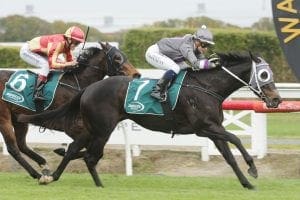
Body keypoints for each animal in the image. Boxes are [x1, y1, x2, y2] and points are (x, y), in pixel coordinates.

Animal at [0, 42, 141, 183]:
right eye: (117, 58)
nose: (136, 74)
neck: (77, 84)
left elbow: (90, 149)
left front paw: (62, 151)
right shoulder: (71, 126)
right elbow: (88, 148)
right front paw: (64, 152)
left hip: (18, 118)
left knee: (21, 145)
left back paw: (43, 164)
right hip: (4, 117)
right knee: (13, 148)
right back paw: (38, 175)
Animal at [18, 52, 282, 189]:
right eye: (264, 75)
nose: (276, 99)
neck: (208, 87)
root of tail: (89, 88)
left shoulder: (212, 130)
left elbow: (229, 156)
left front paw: (247, 182)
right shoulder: (205, 127)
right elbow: (236, 139)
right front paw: (253, 168)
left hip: (93, 127)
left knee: (74, 148)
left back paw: (51, 176)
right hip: (103, 128)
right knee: (91, 156)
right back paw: (99, 186)